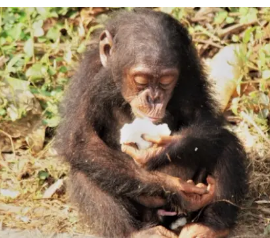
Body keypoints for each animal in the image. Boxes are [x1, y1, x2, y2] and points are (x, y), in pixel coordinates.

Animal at [55, 8, 249, 238]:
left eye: (166, 80)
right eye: (141, 80)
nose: (153, 98)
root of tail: (167, 216)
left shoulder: (190, 72)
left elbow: (205, 118)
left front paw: (162, 149)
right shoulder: (88, 77)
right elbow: (81, 140)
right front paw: (175, 188)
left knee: (226, 144)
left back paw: (209, 226)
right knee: (85, 173)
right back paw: (138, 232)